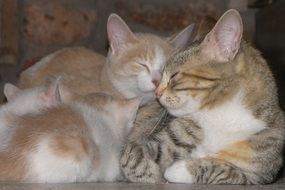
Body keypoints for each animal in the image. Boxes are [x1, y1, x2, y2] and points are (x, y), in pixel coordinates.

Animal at [120, 9, 284, 184]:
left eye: (174, 76)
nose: (156, 93)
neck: (222, 115)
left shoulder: (256, 176)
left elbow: (225, 170)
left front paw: (180, 169)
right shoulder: (147, 142)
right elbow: (132, 159)